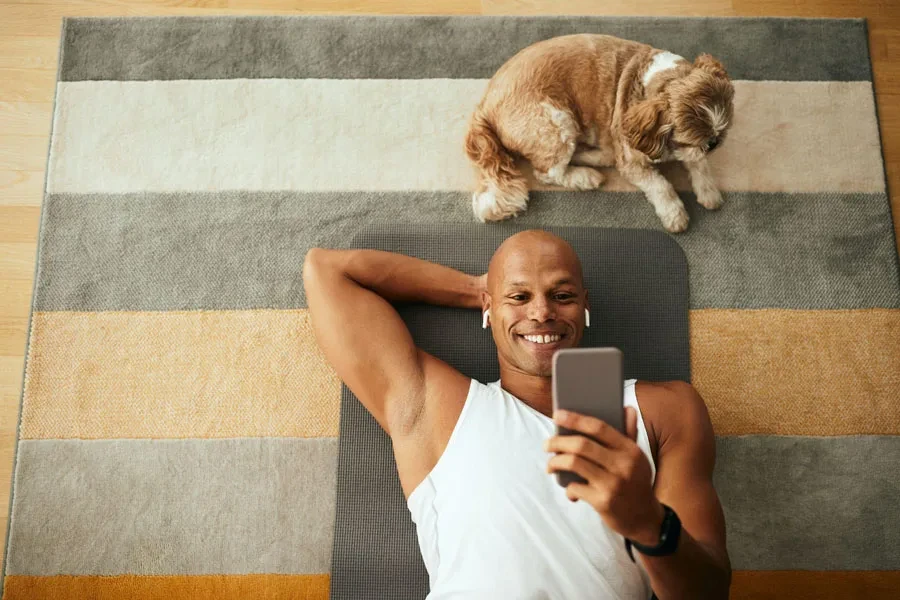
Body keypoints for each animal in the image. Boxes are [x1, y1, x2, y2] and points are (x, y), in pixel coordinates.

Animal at [468, 34, 736, 233]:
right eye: (687, 139)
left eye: (721, 129)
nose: (714, 143)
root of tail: (485, 105)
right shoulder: (632, 161)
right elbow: (660, 185)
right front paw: (675, 213)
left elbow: (699, 165)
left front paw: (708, 191)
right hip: (557, 122)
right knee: (548, 173)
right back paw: (586, 176)